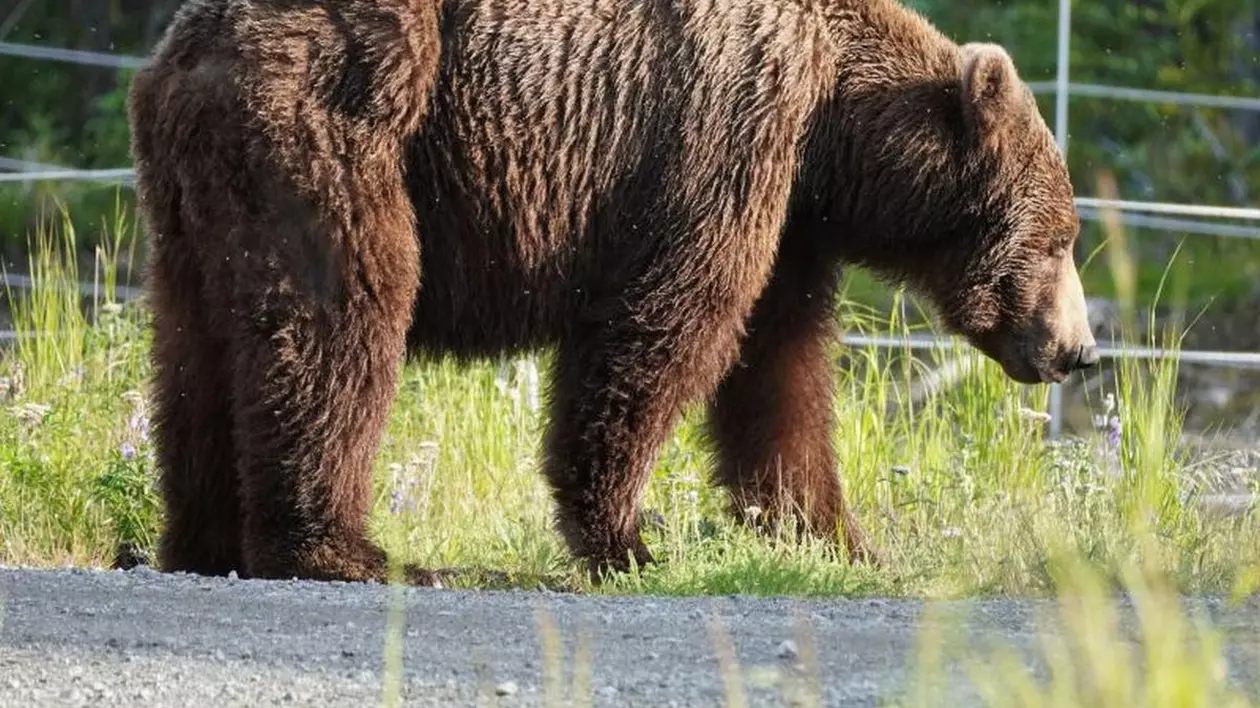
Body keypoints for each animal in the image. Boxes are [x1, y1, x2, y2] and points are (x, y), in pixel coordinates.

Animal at [125, 0, 1093, 582]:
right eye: (1060, 238)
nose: (1078, 350)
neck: (832, 132)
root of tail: (187, 53)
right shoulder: (724, 139)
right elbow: (664, 328)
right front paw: (628, 538)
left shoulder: (789, 223)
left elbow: (779, 377)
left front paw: (837, 539)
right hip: (342, 125)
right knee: (343, 317)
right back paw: (348, 550)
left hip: (193, 202)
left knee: (194, 360)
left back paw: (201, 541)